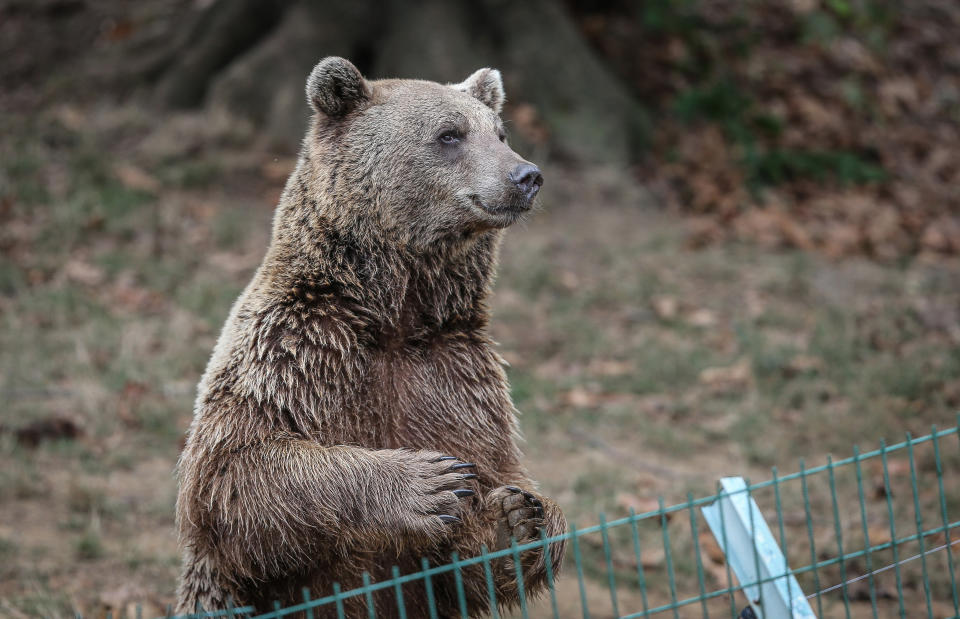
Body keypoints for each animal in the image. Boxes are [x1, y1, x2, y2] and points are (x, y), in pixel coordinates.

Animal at [173, 57, 568, 616]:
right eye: (450, 134)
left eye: (500, 132)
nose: (526, 176)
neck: (394, 315)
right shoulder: (295, 353)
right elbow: (237, 471)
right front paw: (428, 483)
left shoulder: (456, 379)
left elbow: (481, 515)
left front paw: (519, 520)